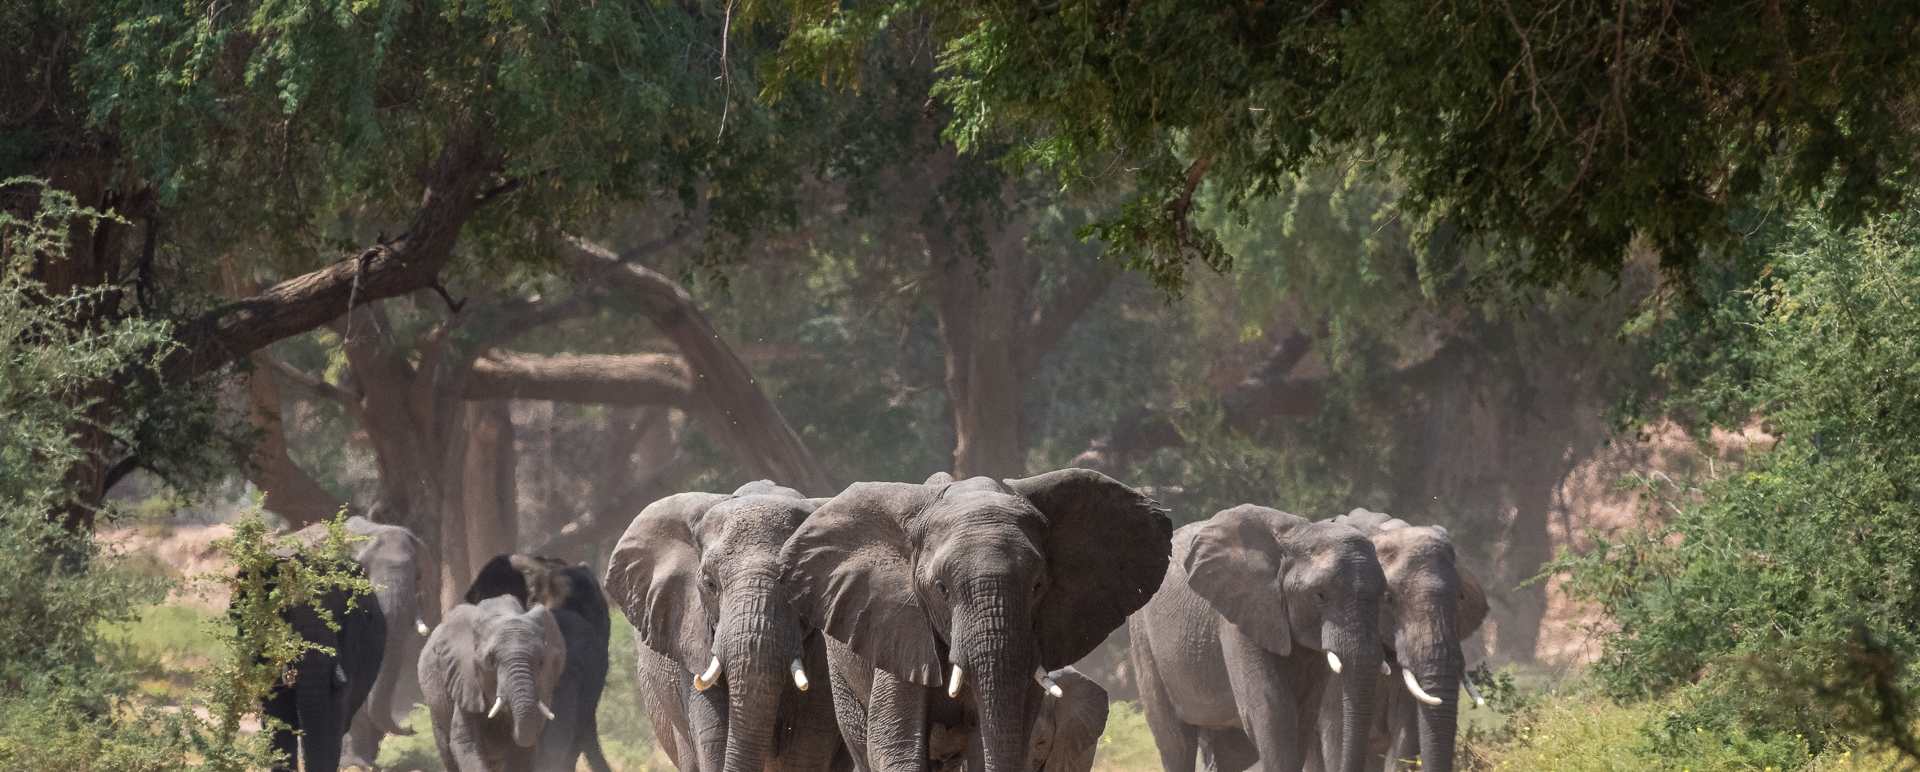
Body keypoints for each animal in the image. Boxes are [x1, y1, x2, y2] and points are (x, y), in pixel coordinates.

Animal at [1128, 504, 1387, 772]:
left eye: (1384, 594)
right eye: (1320, 595)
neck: (1300, 534)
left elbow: (1303, 713)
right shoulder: (1241, 612)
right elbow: (1272, 709)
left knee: (1230, 754)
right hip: (1142, 638)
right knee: (1176, 742)